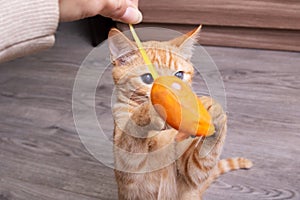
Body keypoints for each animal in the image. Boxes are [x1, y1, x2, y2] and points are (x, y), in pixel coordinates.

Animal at [109, 26, 252, 200]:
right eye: (148, 78)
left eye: (179, 75)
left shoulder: (188, 174)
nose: (171, 93)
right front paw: (150, 111)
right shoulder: (128, 172)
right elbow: (131, 134)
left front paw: (213, 111)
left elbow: (200, 163)